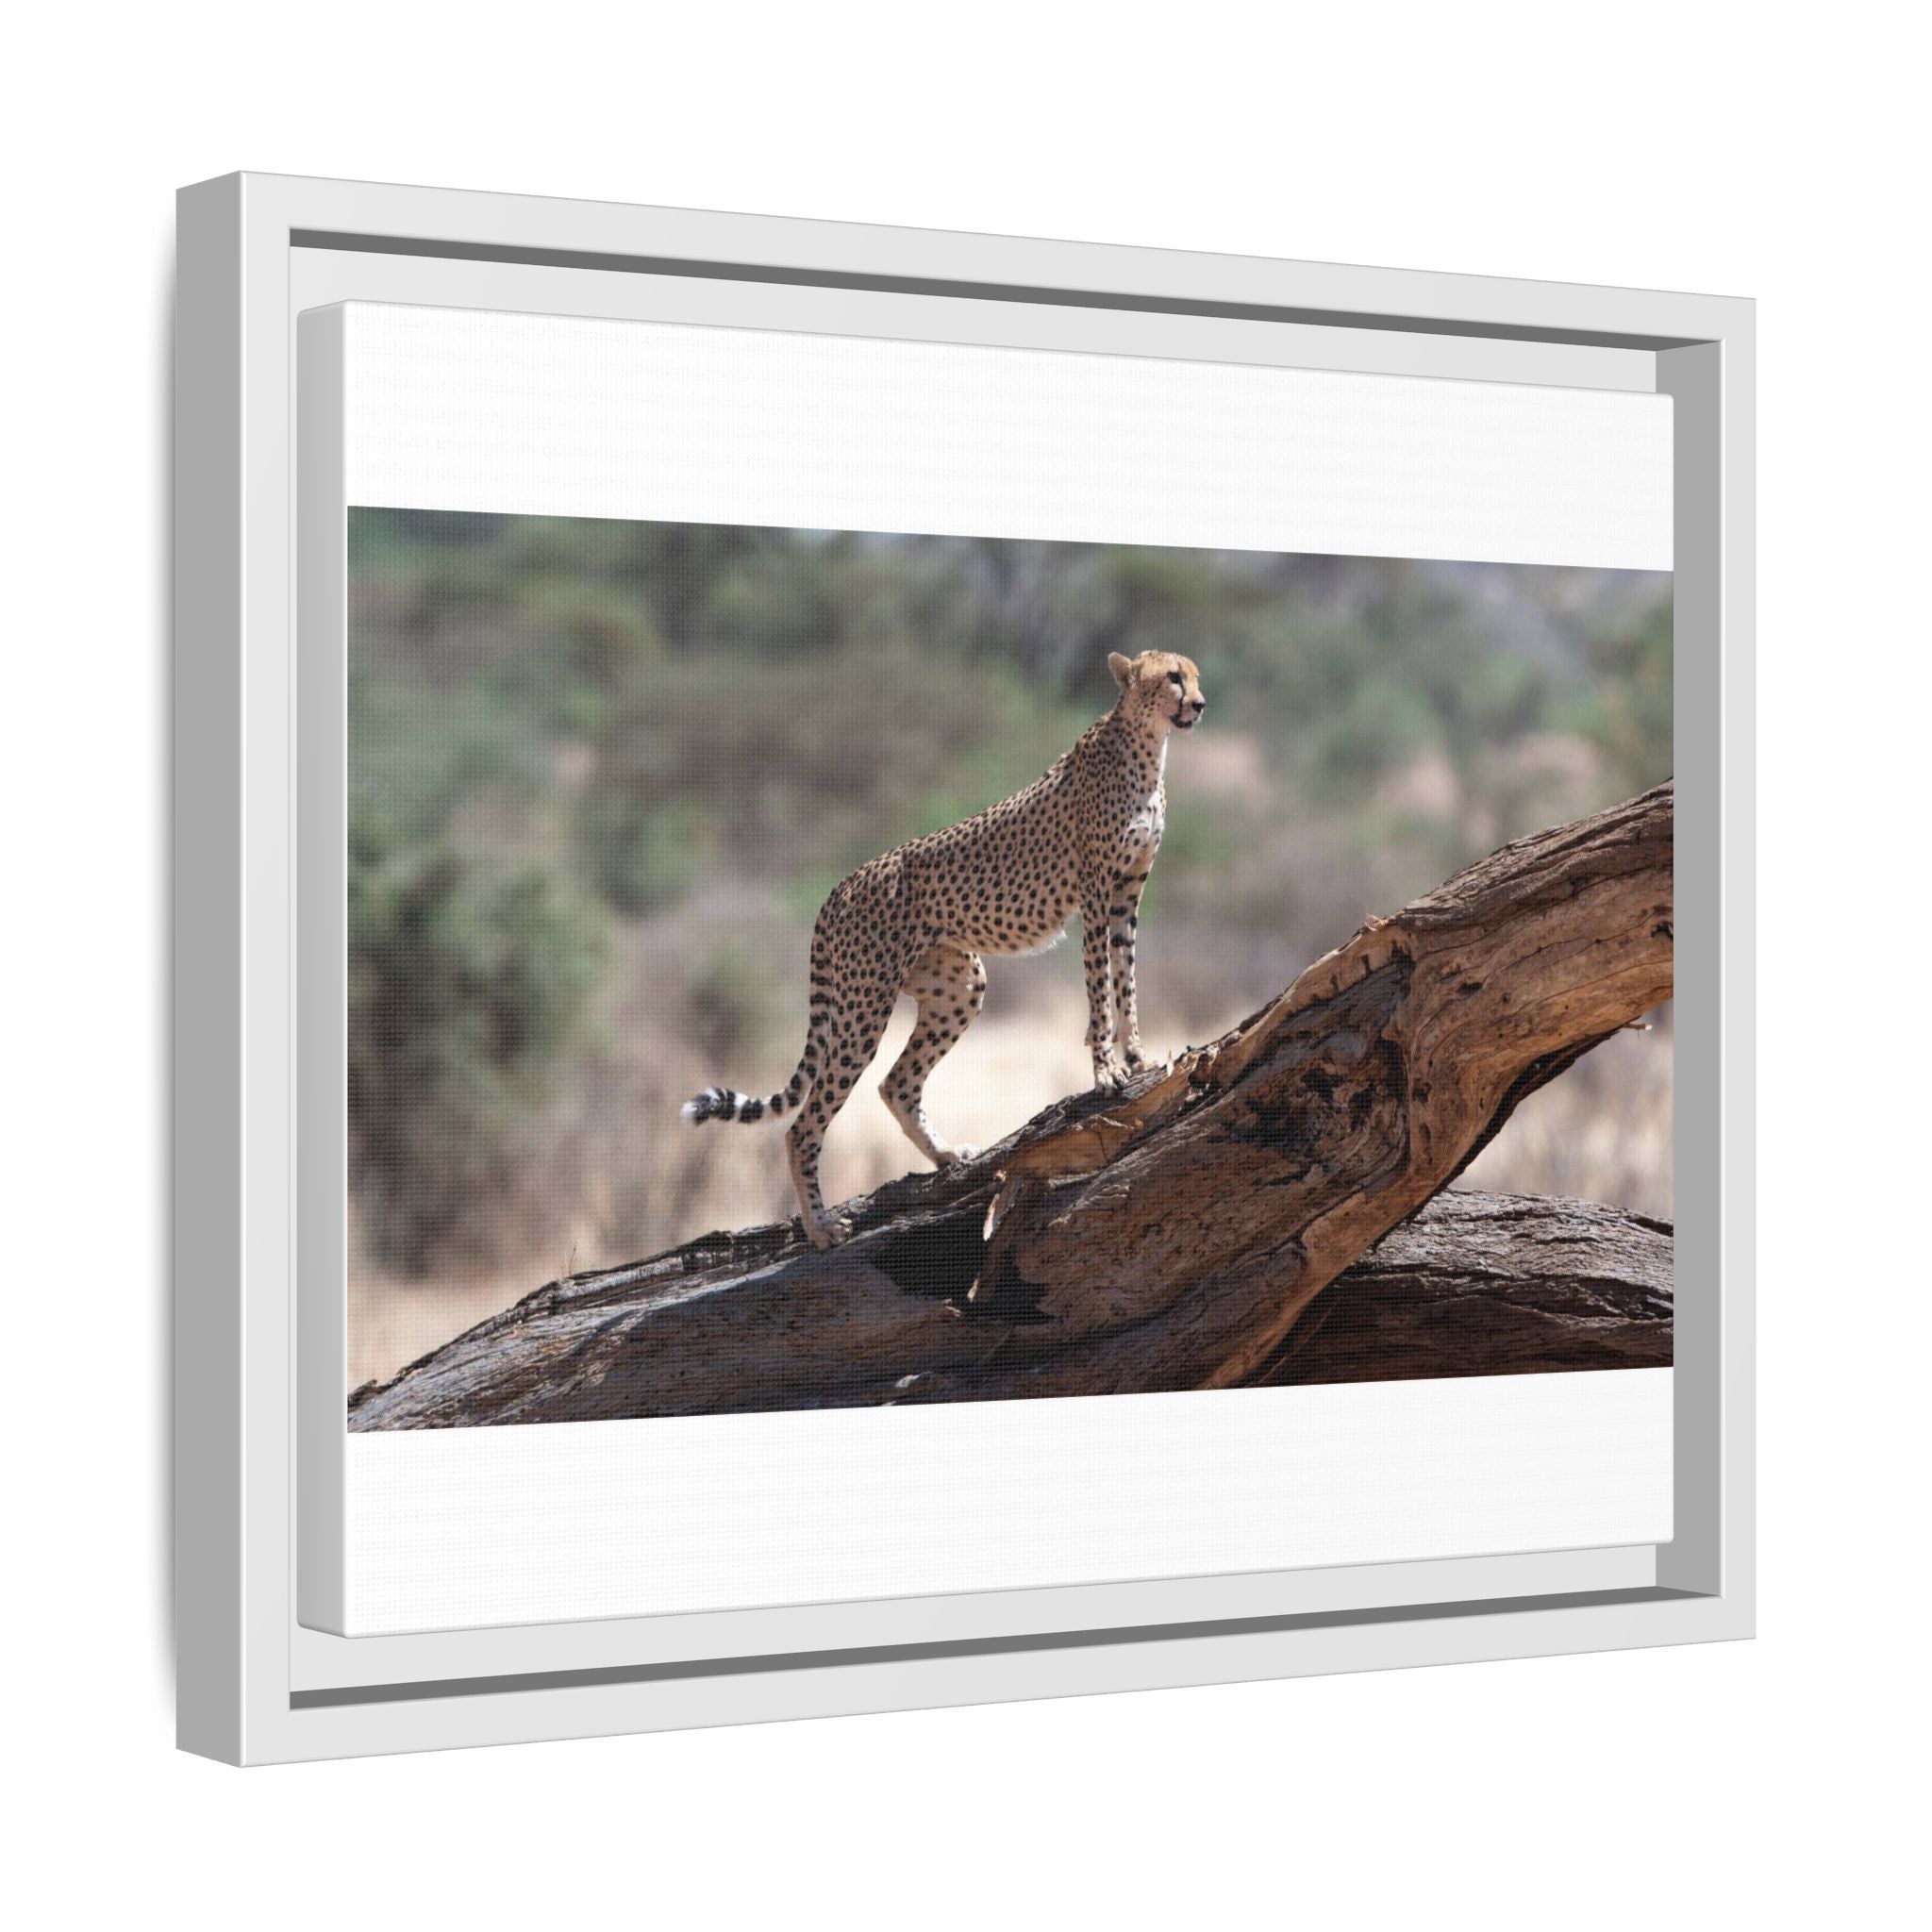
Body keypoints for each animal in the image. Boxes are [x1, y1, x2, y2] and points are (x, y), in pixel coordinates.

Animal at [682, 648, 1207, 1248]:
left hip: (958, 986)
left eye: (1194, 675)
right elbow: (1100, 987)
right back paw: (821, 1228)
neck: (1147, 746)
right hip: (863, 1006)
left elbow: (1126, 979)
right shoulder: (1096, 895)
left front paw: (1139, 1055)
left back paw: (946, 1156)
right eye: (1173, 678)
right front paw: (1105, 1072)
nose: (1199, 704)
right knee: (805, 1123)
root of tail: (841, 885)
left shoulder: (1126, 895)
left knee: (896, 1084)